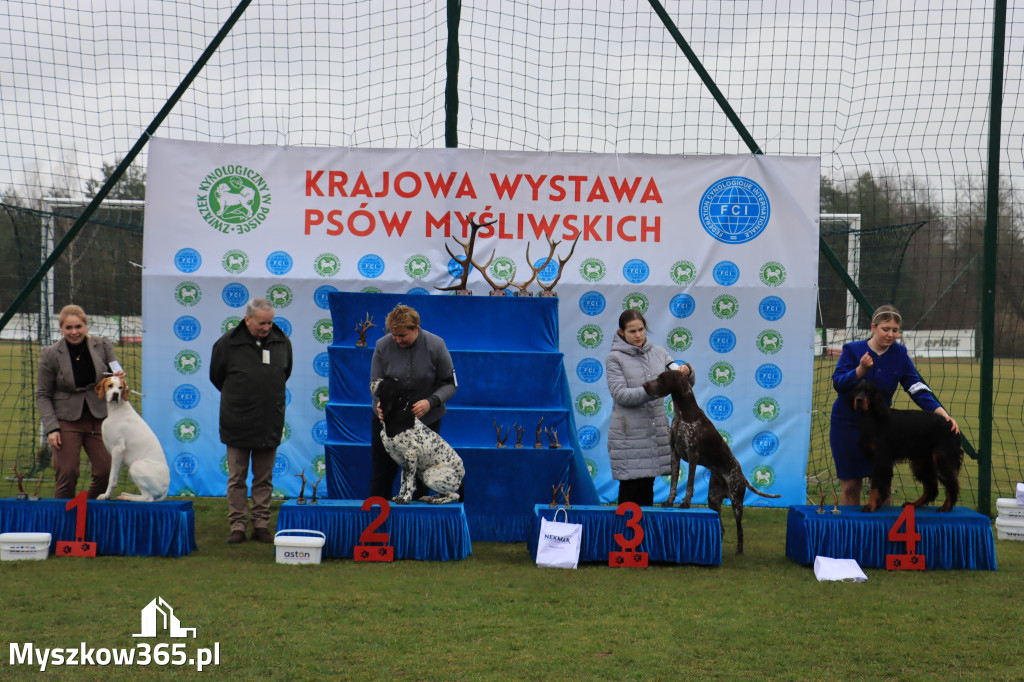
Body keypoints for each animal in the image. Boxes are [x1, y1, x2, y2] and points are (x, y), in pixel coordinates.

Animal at [643, 366, 778, 552]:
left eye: (662, 378)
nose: (644, 385)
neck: (682, 413)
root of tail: (741, 474)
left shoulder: (692, 454)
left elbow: (690, 484)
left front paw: (685, 504)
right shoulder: (674, 454)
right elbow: (673, 483)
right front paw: (669, 502)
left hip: (737, 501)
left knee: (740, 529)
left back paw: (739, 552)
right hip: (713, 500)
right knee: (721, 528)